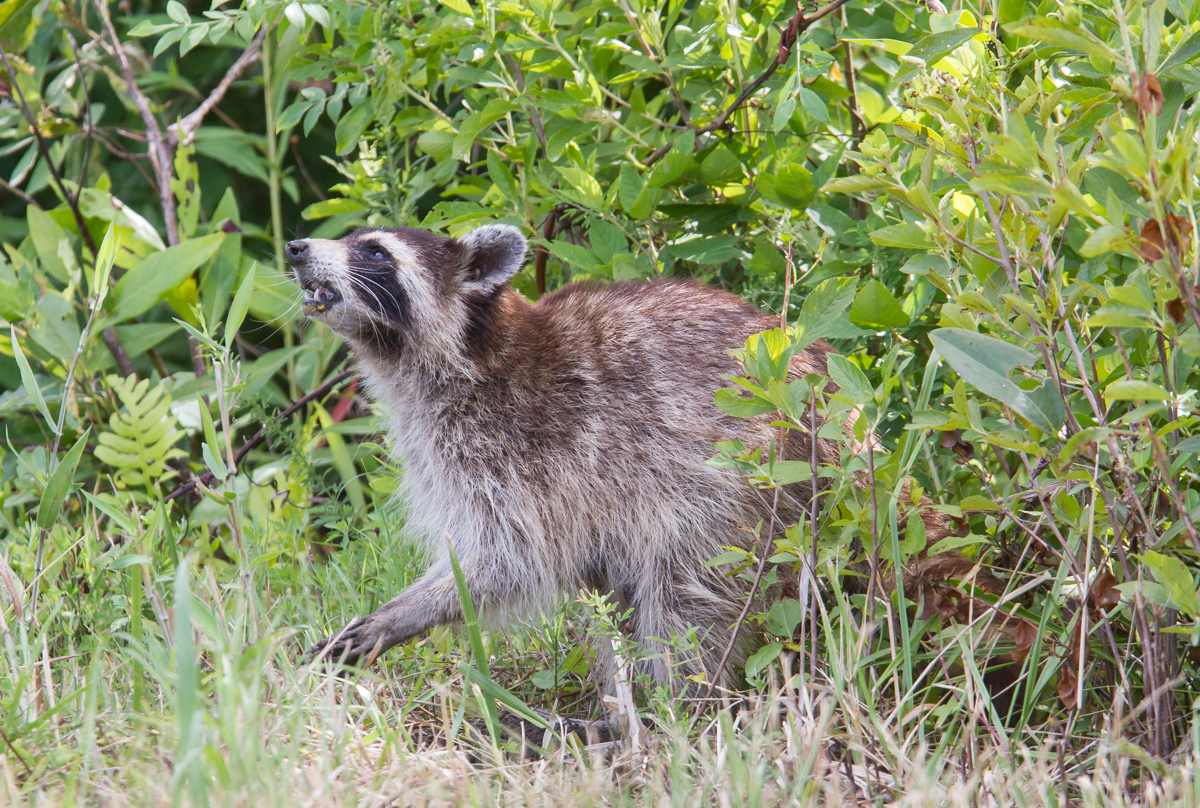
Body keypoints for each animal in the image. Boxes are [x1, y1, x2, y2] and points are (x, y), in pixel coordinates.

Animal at [286, 224, 977, 692]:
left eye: (375, 252)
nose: (294, 247)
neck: (457, 356)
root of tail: (856, 442)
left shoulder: (527, 449)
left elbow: (510, 560)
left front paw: (415, 607)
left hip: (744, 484)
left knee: (686, 594)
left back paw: (681, 707)